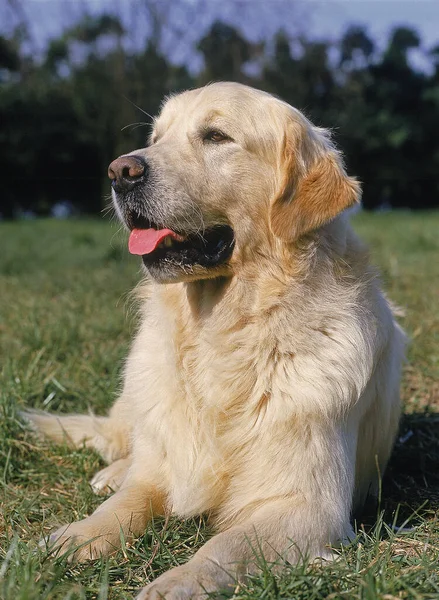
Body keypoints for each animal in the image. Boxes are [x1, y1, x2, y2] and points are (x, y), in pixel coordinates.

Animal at [24, 83, 406, 600]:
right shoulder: (161, 469)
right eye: (156, 137)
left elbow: (223, 547)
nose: (120, 171)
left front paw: (172, 584)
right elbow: (122, 505)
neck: (219, 334)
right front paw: (69, 539)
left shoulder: (306, 505)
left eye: (216, 136)